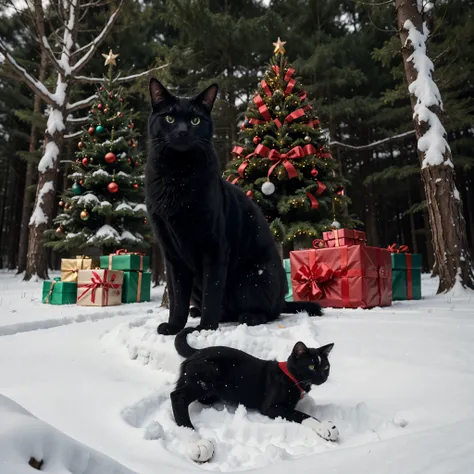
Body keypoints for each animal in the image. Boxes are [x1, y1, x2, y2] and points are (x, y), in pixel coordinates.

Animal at [144, 78, 322, 336]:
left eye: (195, 120)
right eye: (169, 118)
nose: (182, 131)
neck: (177, 176)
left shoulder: (215, 247)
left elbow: (212, 291)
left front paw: (206, 328)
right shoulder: (172, 255)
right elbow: (177, 298)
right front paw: (174, 326)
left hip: (253, 276)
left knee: (269, 311)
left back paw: (247, 316)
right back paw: (197, 312)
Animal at [172, 328, 338, 462]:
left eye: (326, 367)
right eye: (311, 366)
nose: (323, 377)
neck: (292, 378)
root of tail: (198, 351)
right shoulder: (271, 407)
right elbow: (301, 414)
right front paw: (325, 426)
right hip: (209, 373)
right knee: (177, 396)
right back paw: (197, 442)